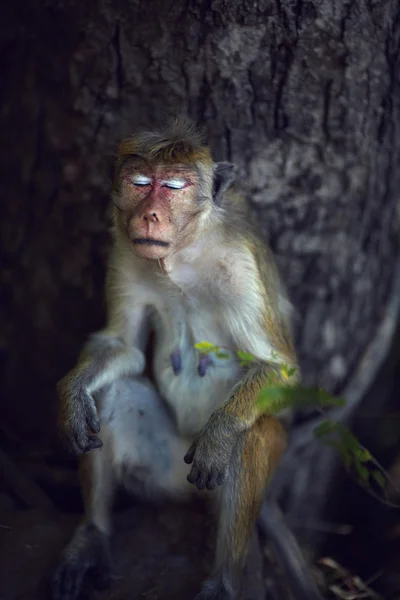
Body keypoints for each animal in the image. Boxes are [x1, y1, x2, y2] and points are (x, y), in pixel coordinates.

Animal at [50, 118, 300, 600]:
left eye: (173, 186)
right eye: (139, 182)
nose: (150, 215)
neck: (182, 255)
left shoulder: (242, 263)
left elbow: (278, 369)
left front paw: (221, 432)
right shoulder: (124, 253)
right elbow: (122, 348)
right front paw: (71, 396)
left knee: (255, 433)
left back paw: (224, 580)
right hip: (166, 474)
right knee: (112, 392)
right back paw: (93, 536)